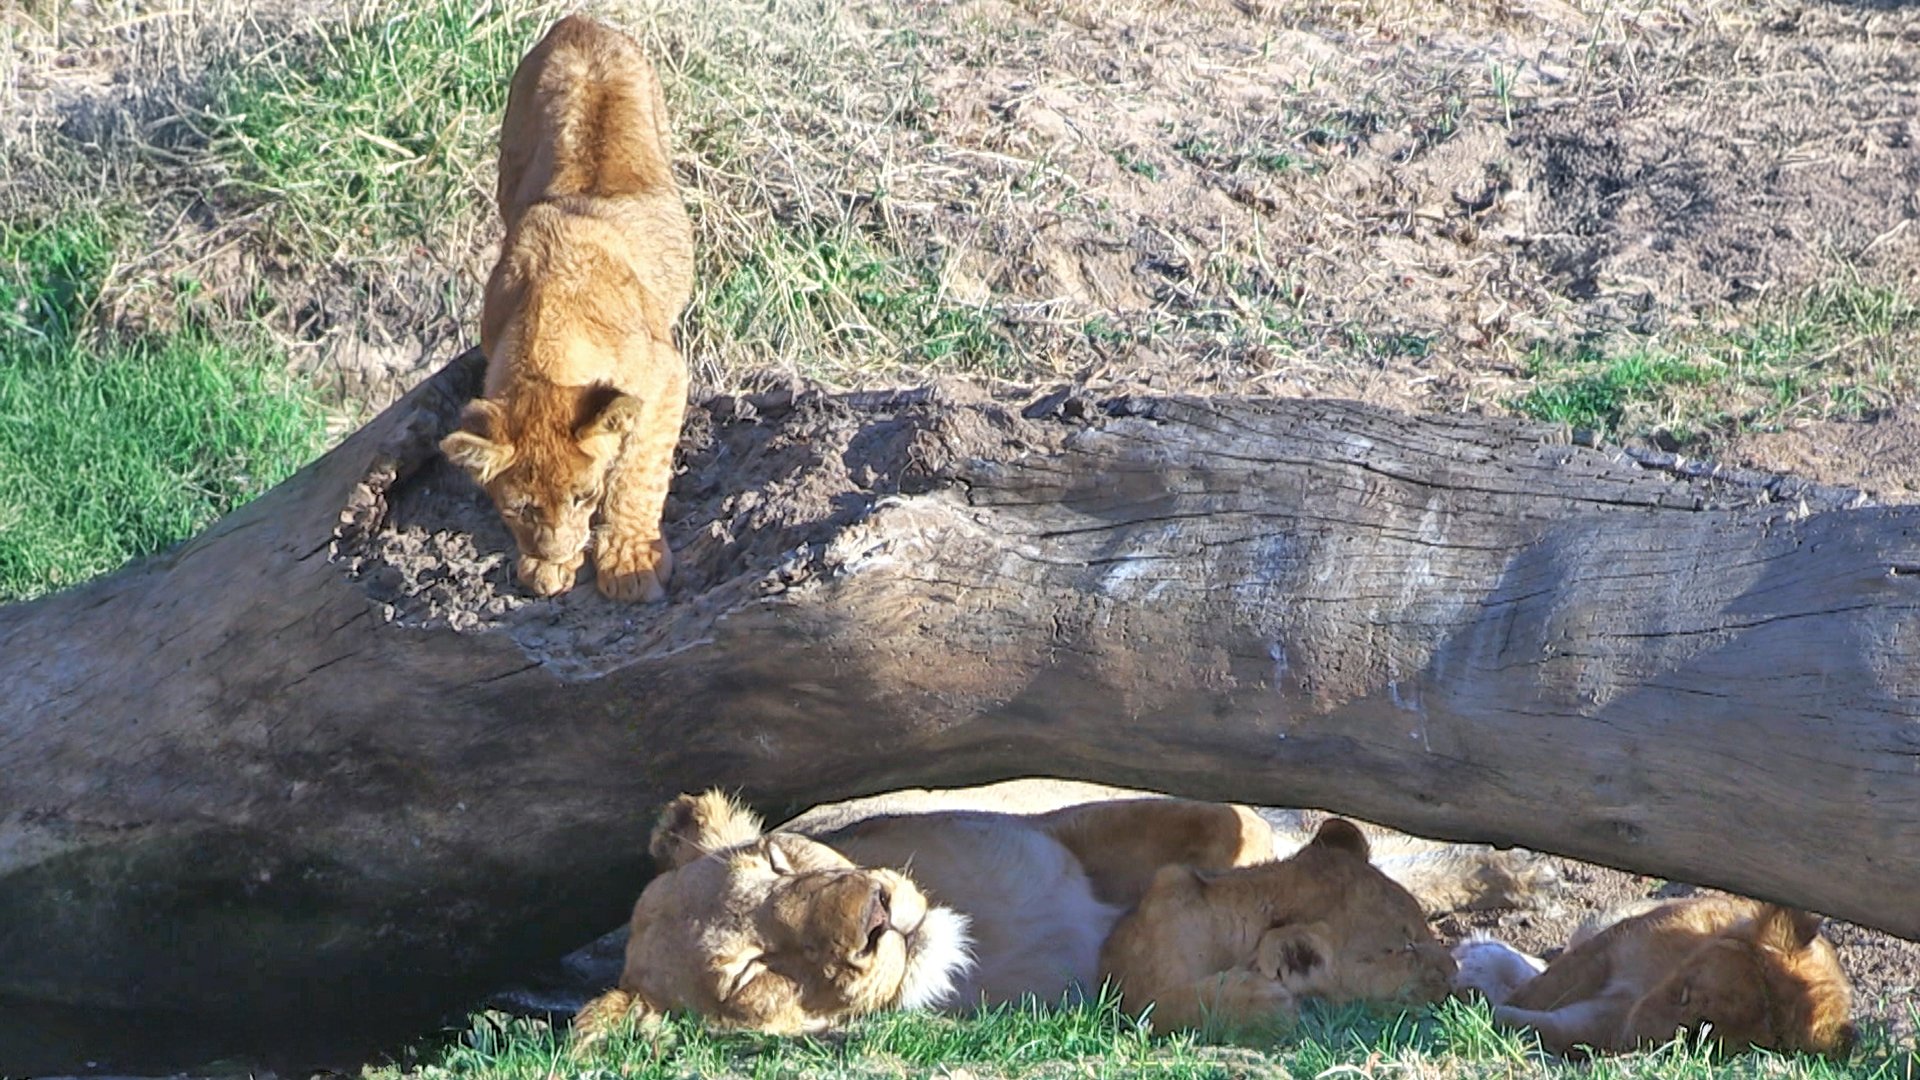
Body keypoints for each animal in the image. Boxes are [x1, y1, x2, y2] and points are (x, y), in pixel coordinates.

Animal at [440, 15, 694, 602]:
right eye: (520, 510)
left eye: (585, 496)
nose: (555, 552)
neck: (546, 335)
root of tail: (580, 23)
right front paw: (547, 567)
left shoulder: (666, 374)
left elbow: (639, 472)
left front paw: (629, 562)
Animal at [572, 784, 1467, 1042]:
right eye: (752, 975)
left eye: (776, 862)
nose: (876, 914)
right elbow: (1141, 977)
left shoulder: (1054, 830)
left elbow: (1231, 826)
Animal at [1456, 896, 1855, 1057]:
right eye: (1684, 993)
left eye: (1701, 1036)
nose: (1635, 1039)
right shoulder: (1608, 949)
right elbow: (1544, 988)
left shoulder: (1608, 1021)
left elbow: (1555, 1026)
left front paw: (1492, 1014)